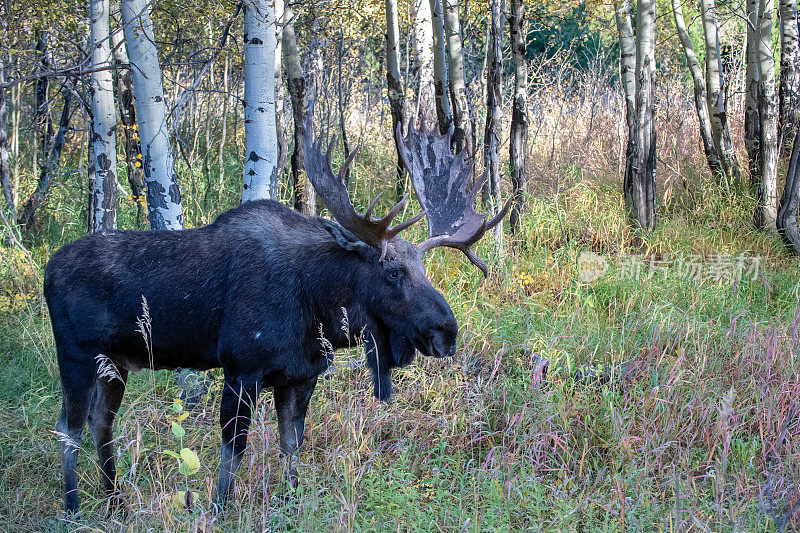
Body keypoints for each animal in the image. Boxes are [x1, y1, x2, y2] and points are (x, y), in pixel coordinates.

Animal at [43, 122, 510, 512]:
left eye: (425, 269)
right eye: (393, 271)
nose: (447, 332)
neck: (318, 305)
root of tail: (48, 270)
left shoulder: (300, 375)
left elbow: (291, 444)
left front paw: (292, 499)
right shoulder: (240, 368)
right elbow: (235, 447)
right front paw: (219, 508)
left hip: (116, 363)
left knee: (102, 423)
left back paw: (116, 503)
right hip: (76, 356)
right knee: (69, 427)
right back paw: (73, 507)